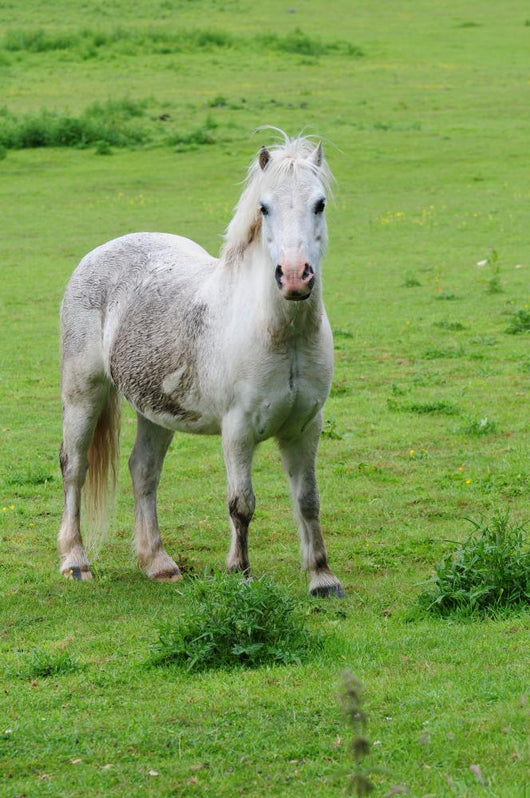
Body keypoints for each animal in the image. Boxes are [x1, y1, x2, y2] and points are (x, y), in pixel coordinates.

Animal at [58, 131, 344, 597]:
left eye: (319, 204)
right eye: (264, 207)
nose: (294, 277)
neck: (280, 335)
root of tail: (100, 252)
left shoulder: (305, 427)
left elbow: (308, 500)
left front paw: (322, 578)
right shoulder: (238, 430)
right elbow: (241, 505)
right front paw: (239, 574)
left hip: (154, 409)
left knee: (144, 471)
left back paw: (158, 563)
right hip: (84, 391)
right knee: (74, 467)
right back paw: (75, 561)